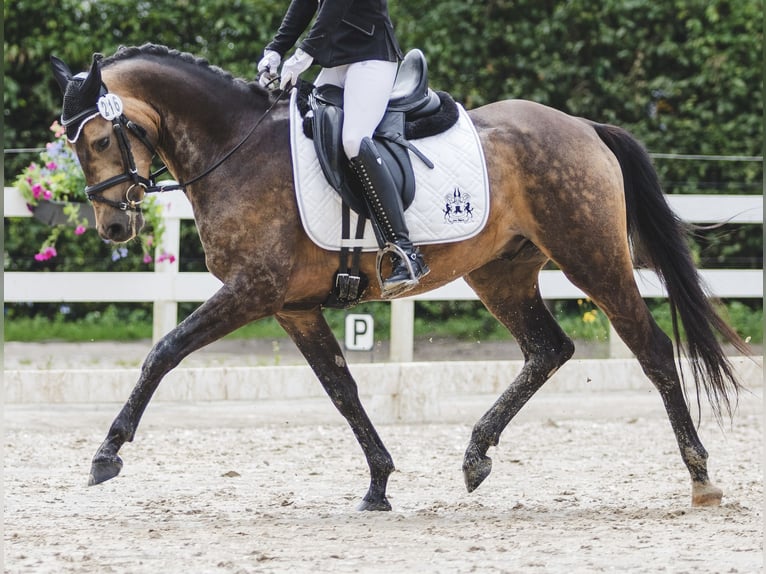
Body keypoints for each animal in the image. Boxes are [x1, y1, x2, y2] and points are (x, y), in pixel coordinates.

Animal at [49, 45, 752, 512]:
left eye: (102, 140)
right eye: (73, 143)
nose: (113, 227)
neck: (235, 147)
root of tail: (582, 125)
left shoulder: (252, 291)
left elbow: (163, 352)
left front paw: (107, 454)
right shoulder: (292, 306)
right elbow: (341, 388)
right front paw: (379, 483)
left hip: (592, 257)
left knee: (652, 349)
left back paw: (700, 477)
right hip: (502, 273)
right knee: (548, 349)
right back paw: (476, 456)